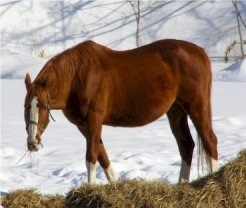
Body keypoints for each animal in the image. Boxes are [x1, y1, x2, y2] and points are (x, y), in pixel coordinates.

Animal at [24, 39, 218, 184]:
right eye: (26, 106)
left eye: (43, 106)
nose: (32, 142)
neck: (77, 77)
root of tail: (200, 52)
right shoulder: (84, 126)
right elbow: (102, 157)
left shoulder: (94, 121)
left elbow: (91, 158)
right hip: (176, 111)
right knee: (186, 145)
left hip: (196, 107)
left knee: (210, 141)